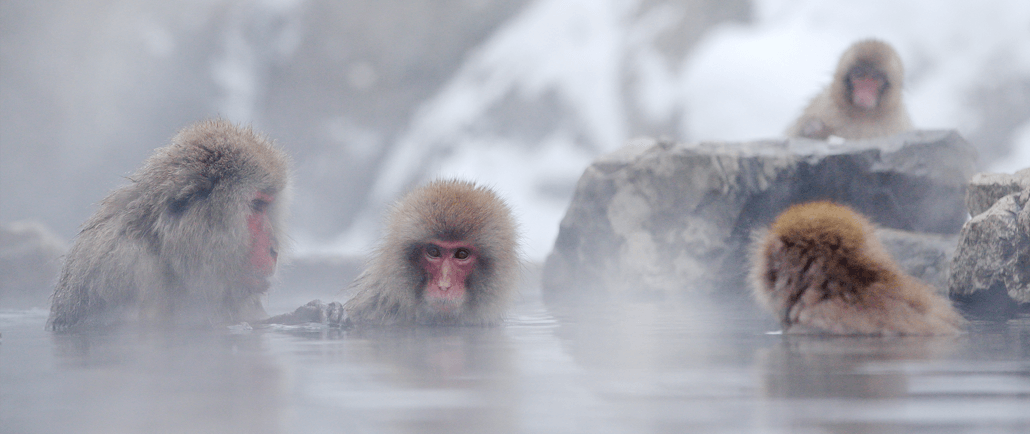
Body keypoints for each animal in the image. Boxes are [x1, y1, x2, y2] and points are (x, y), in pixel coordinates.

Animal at [782, 39, 914, 139]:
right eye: (858, 75)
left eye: (875, 77)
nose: (864, 91)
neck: (863, 116)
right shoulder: (823, 105)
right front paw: (812, 128)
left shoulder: (900, 123)